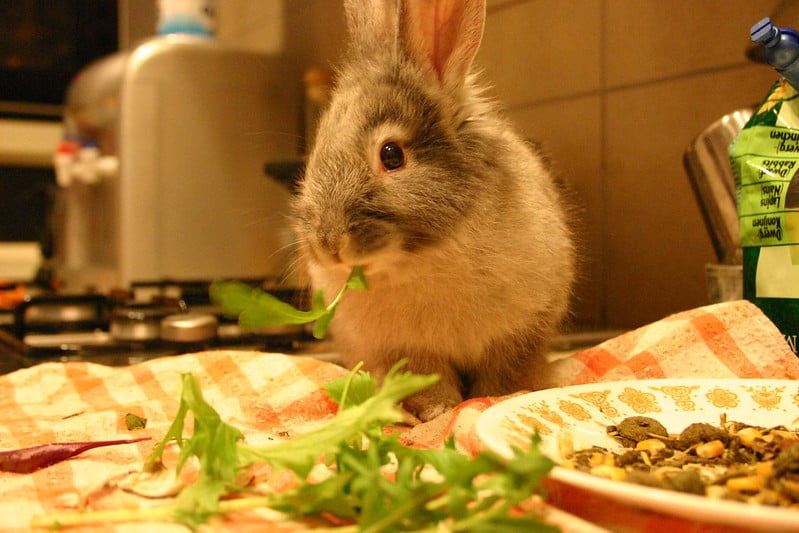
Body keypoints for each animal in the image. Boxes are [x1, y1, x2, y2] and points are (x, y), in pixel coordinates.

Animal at [293, 0, 575, 422]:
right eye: (314, 155)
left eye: (391, 155)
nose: (329, 245)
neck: (426, 256)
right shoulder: (411, 351)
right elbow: (430, 381)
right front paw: (439, 411)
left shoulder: (519, 334)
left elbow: (502, 373)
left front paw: (494, 398)